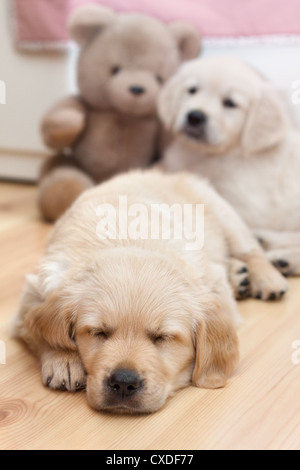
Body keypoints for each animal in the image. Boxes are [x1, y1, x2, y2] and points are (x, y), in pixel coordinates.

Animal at [12, 171, 288, 414]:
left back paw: (267, 278)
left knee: (251, 249)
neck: (130, 241)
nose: (123, 382)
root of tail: (164, 173)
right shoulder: (36, 288)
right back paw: (238, 274)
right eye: (97, 332)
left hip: (226, 216)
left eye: (162, 337)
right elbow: (34, 327)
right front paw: (64, 361)